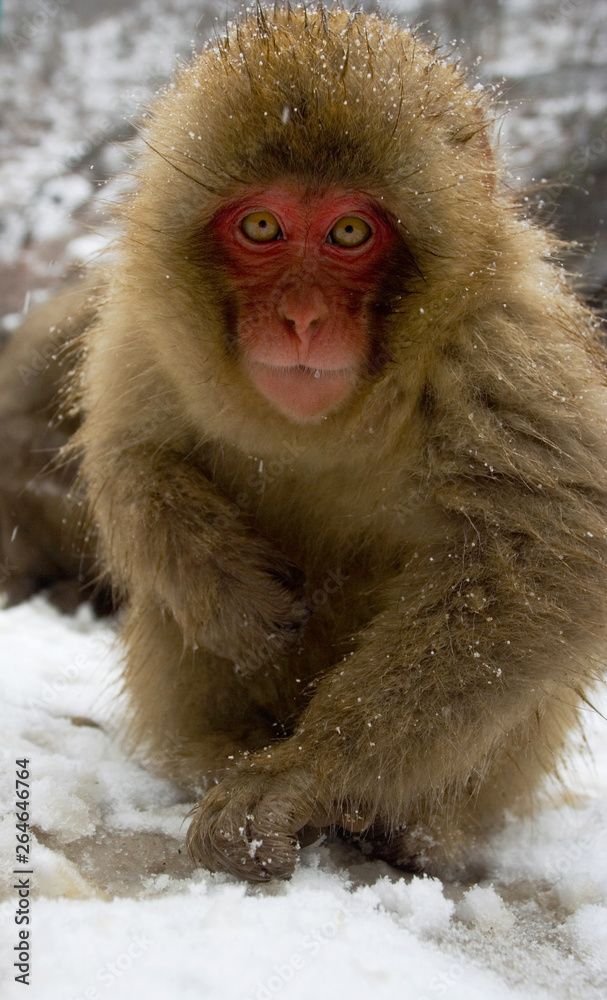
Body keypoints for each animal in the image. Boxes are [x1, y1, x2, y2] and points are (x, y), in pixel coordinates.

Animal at [3, 5, 607, 884]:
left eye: (350, 232)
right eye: (262, 225)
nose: (301, 318)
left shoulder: (504, 345)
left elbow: (537, 554)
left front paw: (300, 778)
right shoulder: (144, 320)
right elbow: (131, 454)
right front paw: (229, 594)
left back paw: (407, 829)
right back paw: (218, 752)